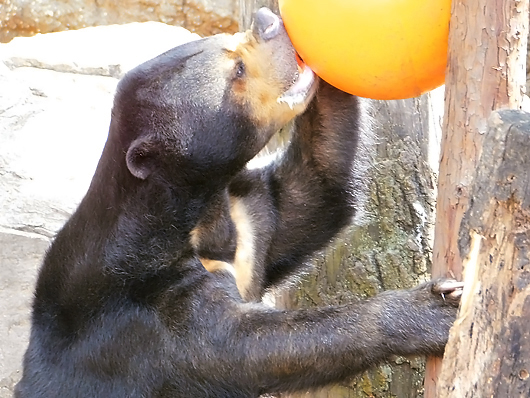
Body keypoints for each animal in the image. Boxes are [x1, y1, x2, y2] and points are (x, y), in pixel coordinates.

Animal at [15, 7, 462, 398]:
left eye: (230, 39)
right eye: (237, 70)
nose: (266, 21)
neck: (196, 212)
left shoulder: (247, 218)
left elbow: (312, 192)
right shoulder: (141, 308)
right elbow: (246, 346)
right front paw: (433, 309)